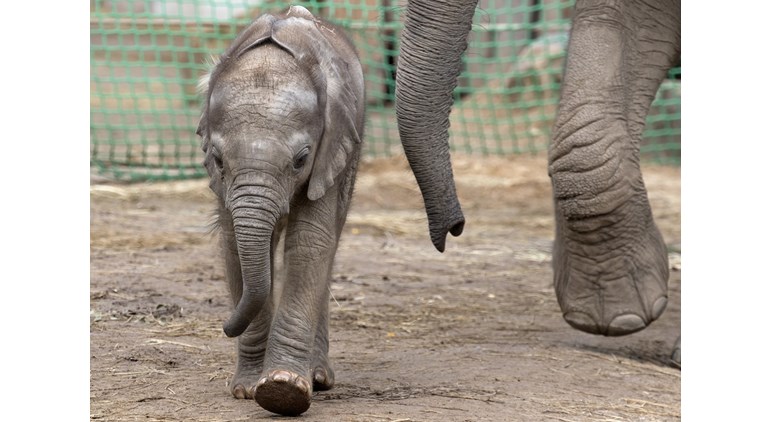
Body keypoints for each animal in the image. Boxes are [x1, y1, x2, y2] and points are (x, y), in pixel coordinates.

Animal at [195, 6, 365, 416]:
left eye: (301, 159)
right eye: (218, 159)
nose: (225, 326)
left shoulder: (331, 149)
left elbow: (310, 242)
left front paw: (283, 389)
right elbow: (233, 244)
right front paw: (246, 390)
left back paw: (318, 377)